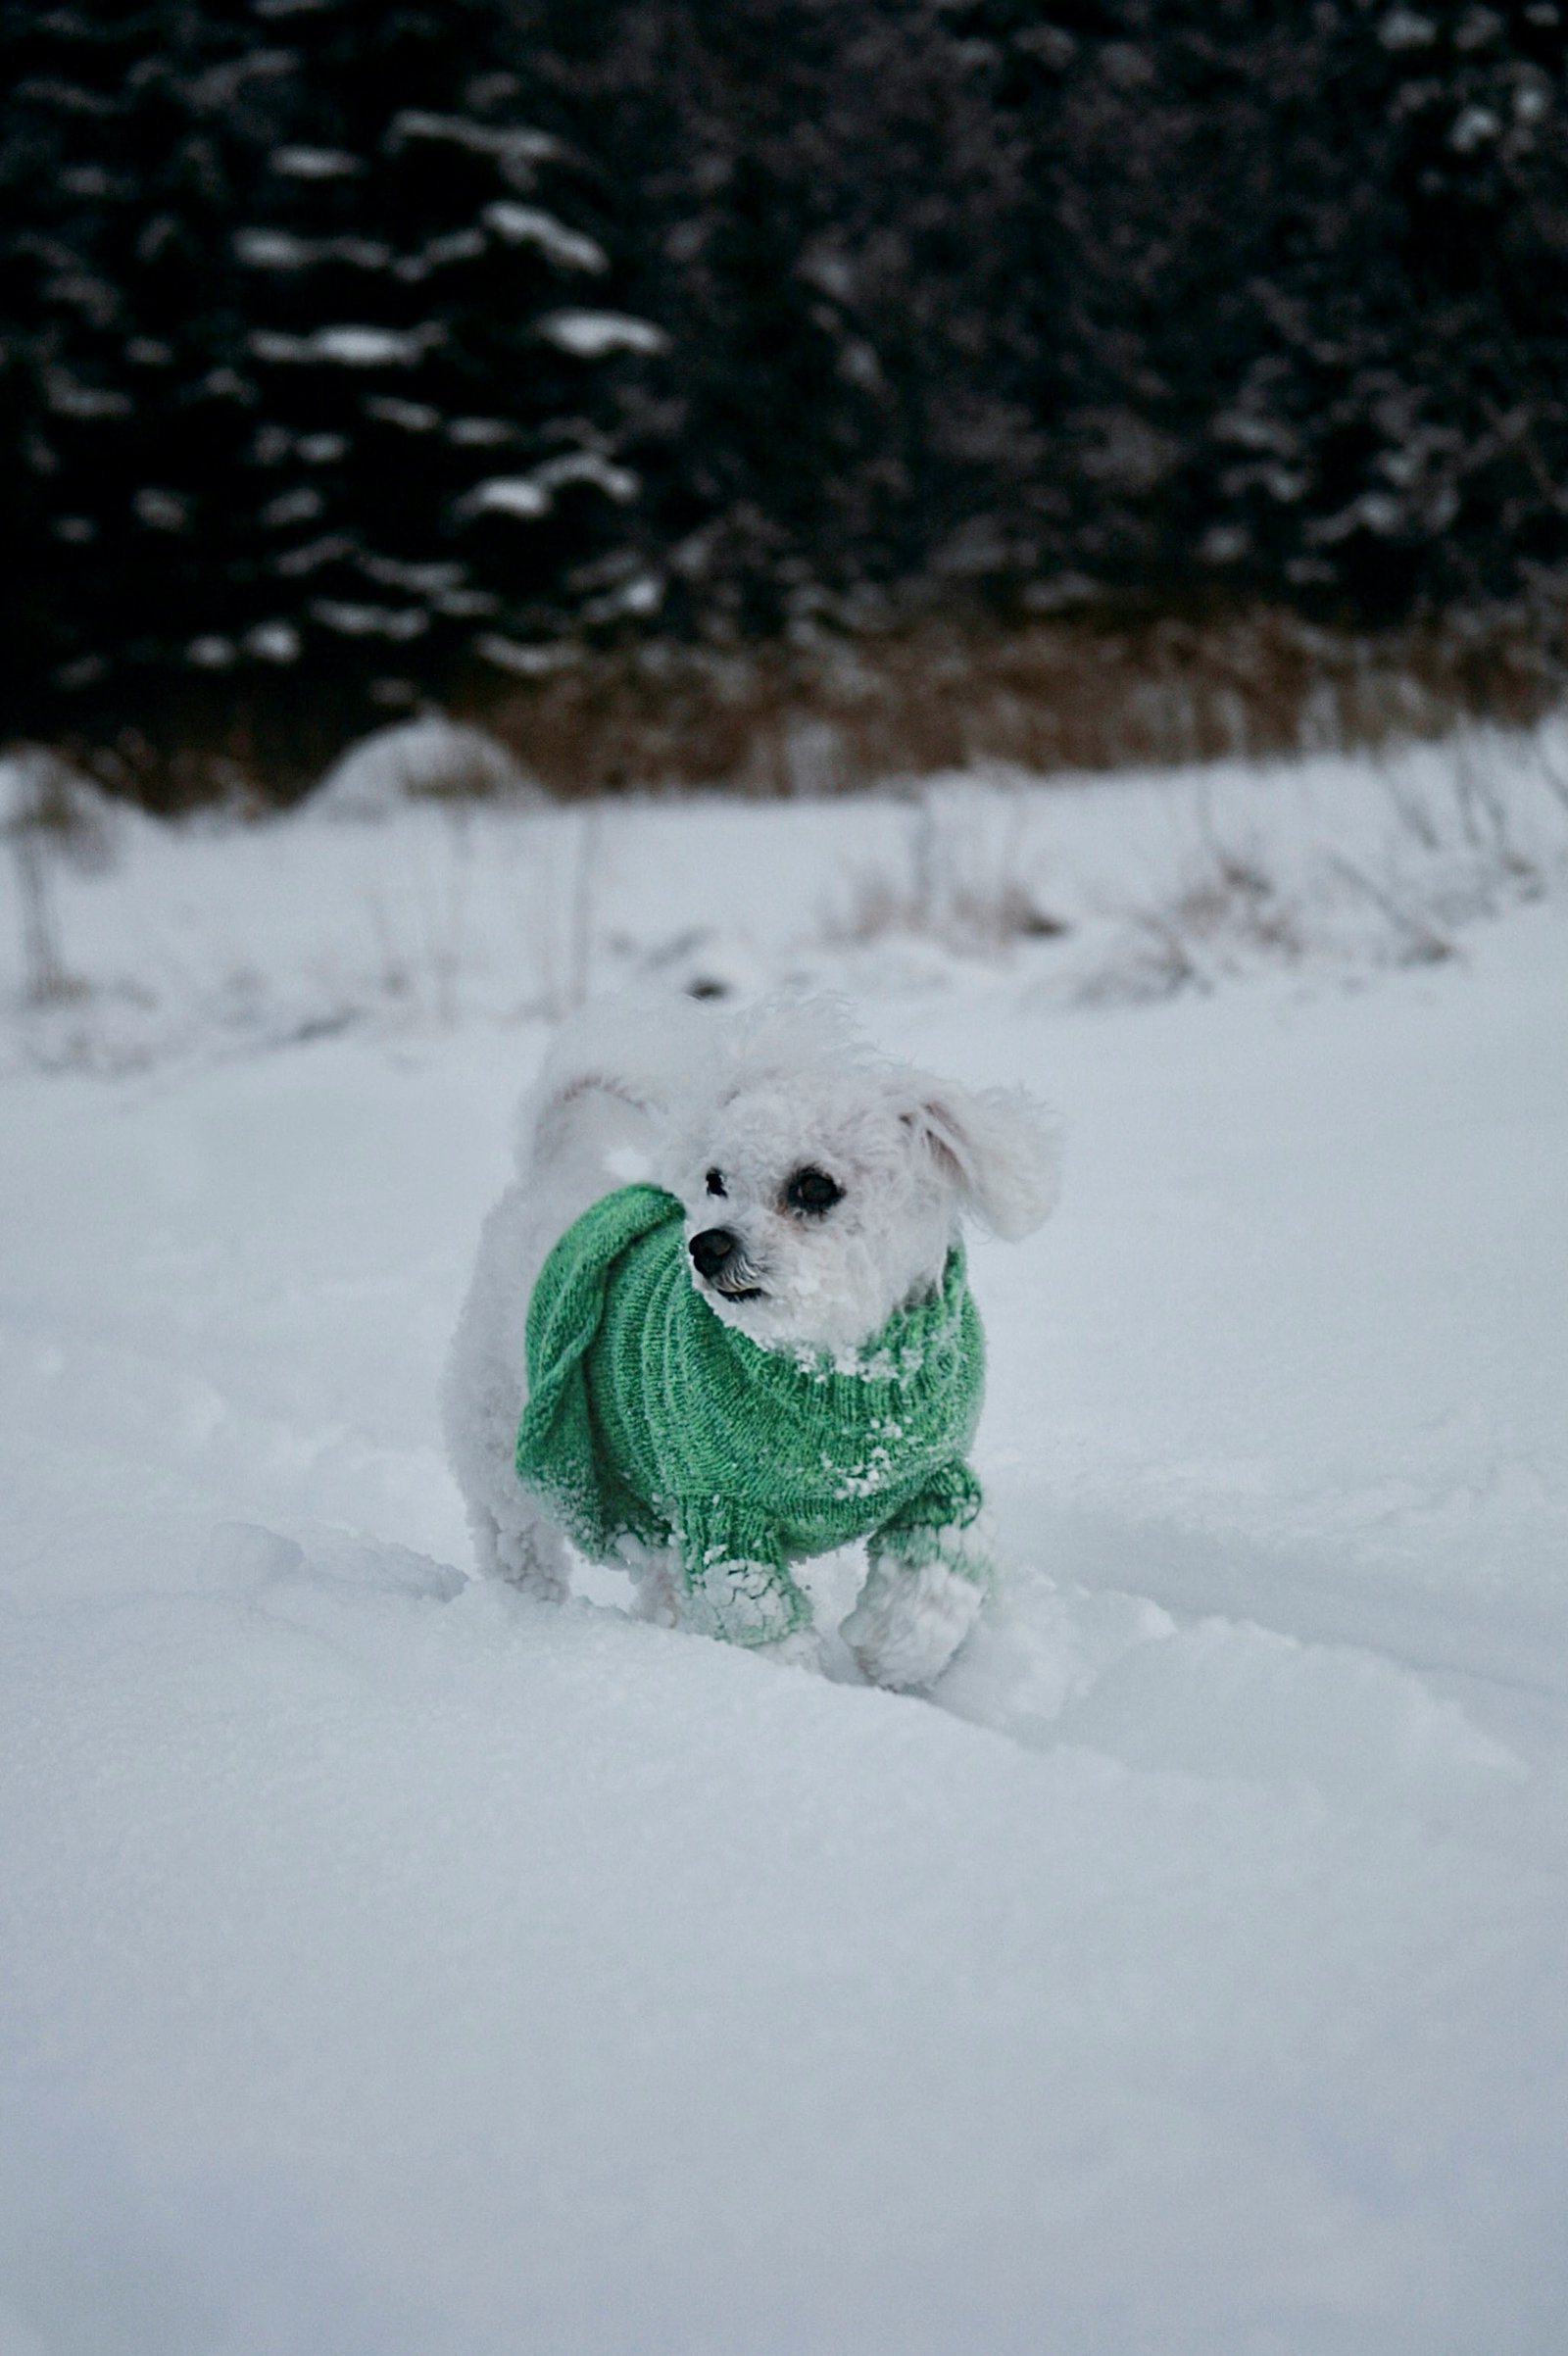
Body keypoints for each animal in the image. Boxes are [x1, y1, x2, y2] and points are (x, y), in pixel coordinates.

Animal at [440, 994, 1054, 1695]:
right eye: (715, 1181)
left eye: (814, 1186)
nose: (706, 1246)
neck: (839, 1368)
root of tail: (554, 1174)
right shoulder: (724, 1517)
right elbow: (762, 1623)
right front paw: (787, 1691)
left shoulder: (933, 1475)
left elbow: (947, 1555)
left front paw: (897, 1650)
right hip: (504, 1442)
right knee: (517, 1537)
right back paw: (529, 1616)